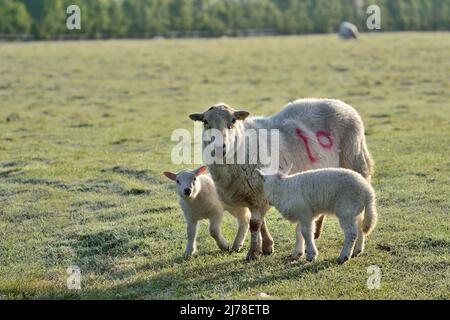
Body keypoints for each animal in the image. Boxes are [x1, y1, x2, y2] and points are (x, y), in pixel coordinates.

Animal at [189, 99, 372, 260]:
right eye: (205, 121)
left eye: (233, 120)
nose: (219, 148)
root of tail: (341, 103)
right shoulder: (255, 195)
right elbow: (260, 223)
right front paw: (266, 247)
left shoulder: (259, 193)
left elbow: (254, 224)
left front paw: (253, 253)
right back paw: (317, 231)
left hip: (356, 162)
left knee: (360, 217)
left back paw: (356, 249)